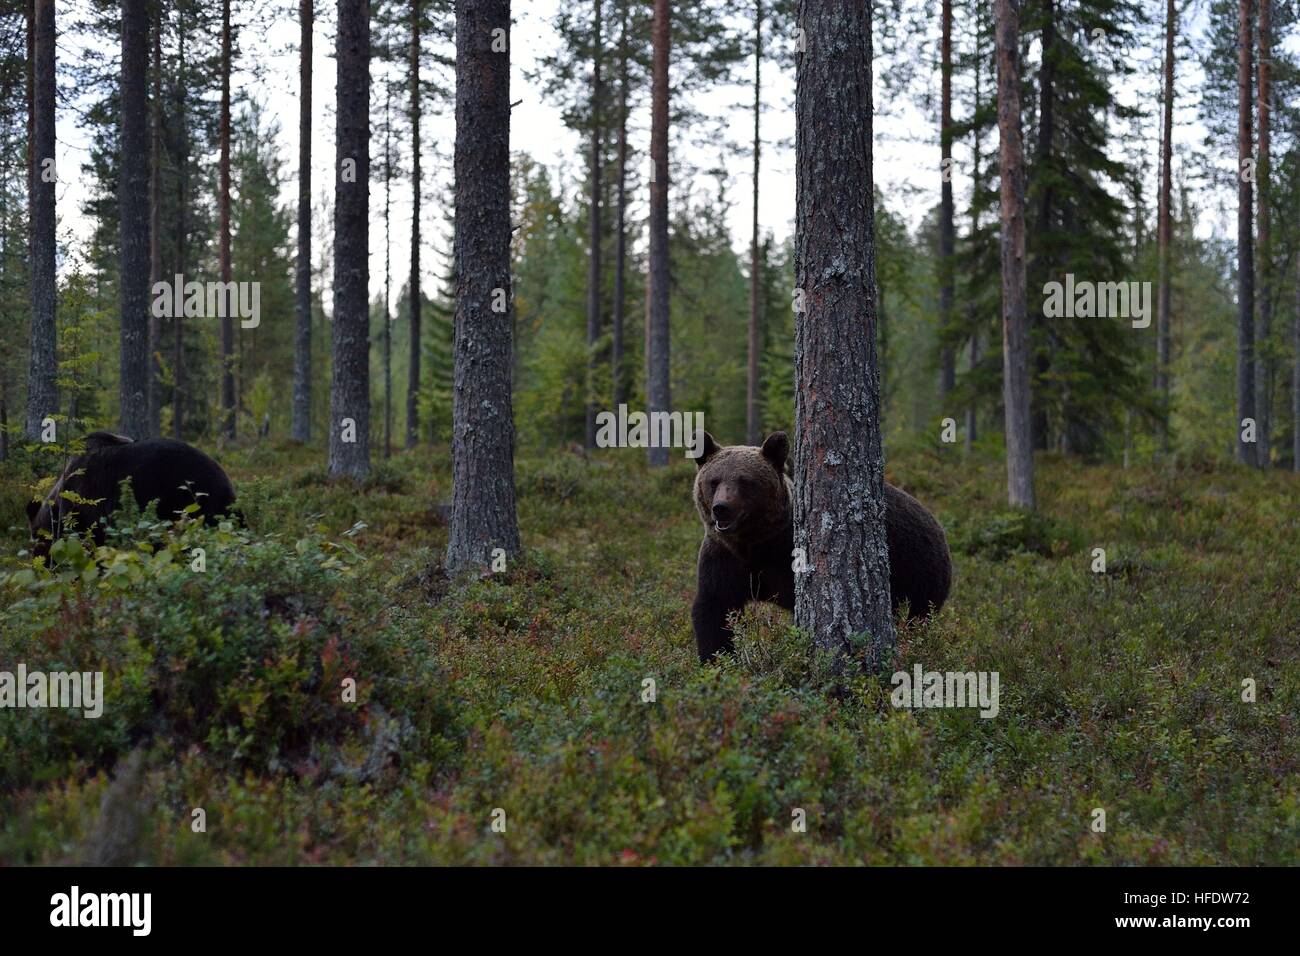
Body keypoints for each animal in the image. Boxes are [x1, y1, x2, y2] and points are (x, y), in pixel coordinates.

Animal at [691, 431, 951, 662]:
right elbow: (715, 608)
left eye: (745, 481)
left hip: (919, 571)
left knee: (919, 614)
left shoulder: (787, 556)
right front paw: (716, 660)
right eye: (714, 481)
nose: (721, 508)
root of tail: (935, 521)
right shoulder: (725, 558)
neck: (755, 544)